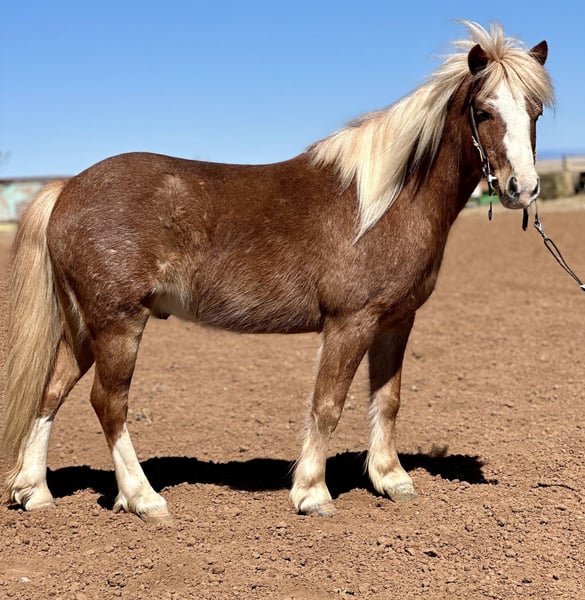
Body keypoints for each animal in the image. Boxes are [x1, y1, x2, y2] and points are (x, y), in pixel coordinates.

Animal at [2, 22, 554, 522]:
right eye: (483, 111)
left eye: (535, 111)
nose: (523, 188)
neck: (386, 202)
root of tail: (67, 188)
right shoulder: (350, 323)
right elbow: (328, 403)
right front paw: (312, 493)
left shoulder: (396, 321)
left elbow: (387, 399)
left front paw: (391, 479)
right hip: (118, 324)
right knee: (109, 404)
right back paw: (143, 499)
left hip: (84, 328)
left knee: (51, 392)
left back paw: (34, 492)